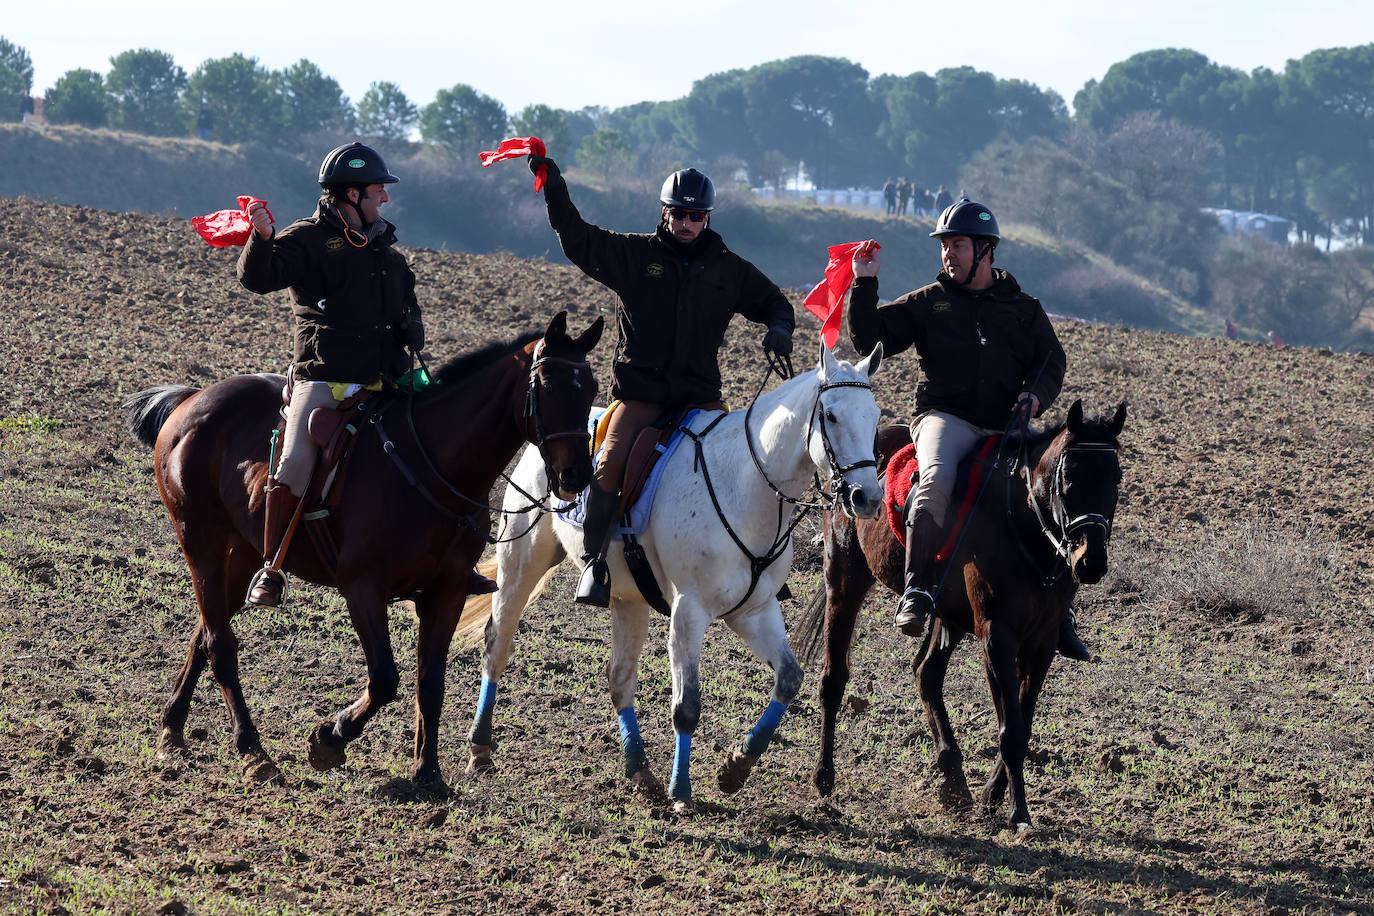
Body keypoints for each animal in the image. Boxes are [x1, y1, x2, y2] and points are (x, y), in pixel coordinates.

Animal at [123, 311, 601, 785]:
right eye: (549, 385)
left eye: (593, 389)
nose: (577, 475)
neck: (432, 465)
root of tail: (194, 399)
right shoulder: (363, 589)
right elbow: (385, 678)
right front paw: (329, 738)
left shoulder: (446, 593)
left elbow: (430, 683)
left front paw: (428, 774)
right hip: (200, 540)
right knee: (220, 645)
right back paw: (252, 750)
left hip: (243, 553)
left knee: (204, 633)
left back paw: (172, 731)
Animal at [461, 341, 884, 807]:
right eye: (831, 416)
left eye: (875, 417)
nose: (867, 497)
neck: (743, 486)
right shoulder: (688, 613)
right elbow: (687, 707)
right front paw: (681, 790)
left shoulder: (754, 611)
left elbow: (790, 679)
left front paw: (736, 767)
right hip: (520, 565)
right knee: (497, 645)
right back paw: (480, 749)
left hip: (627, 599)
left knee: (619, 678)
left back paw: (639, 770)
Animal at [796, 401, 1126, 829]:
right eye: (1068, 477)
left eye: (1116, 478)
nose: (1091, 562)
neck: (1020, 521)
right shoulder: (996, 635)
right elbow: (1011, 728)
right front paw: (1018, 812)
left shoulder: (1042, 640)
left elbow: (1023, 720)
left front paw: (993, 796)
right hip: (844, 581)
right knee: (833, 679)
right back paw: (824, 777)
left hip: (946, 615)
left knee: (926, 674)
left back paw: (953, 776)